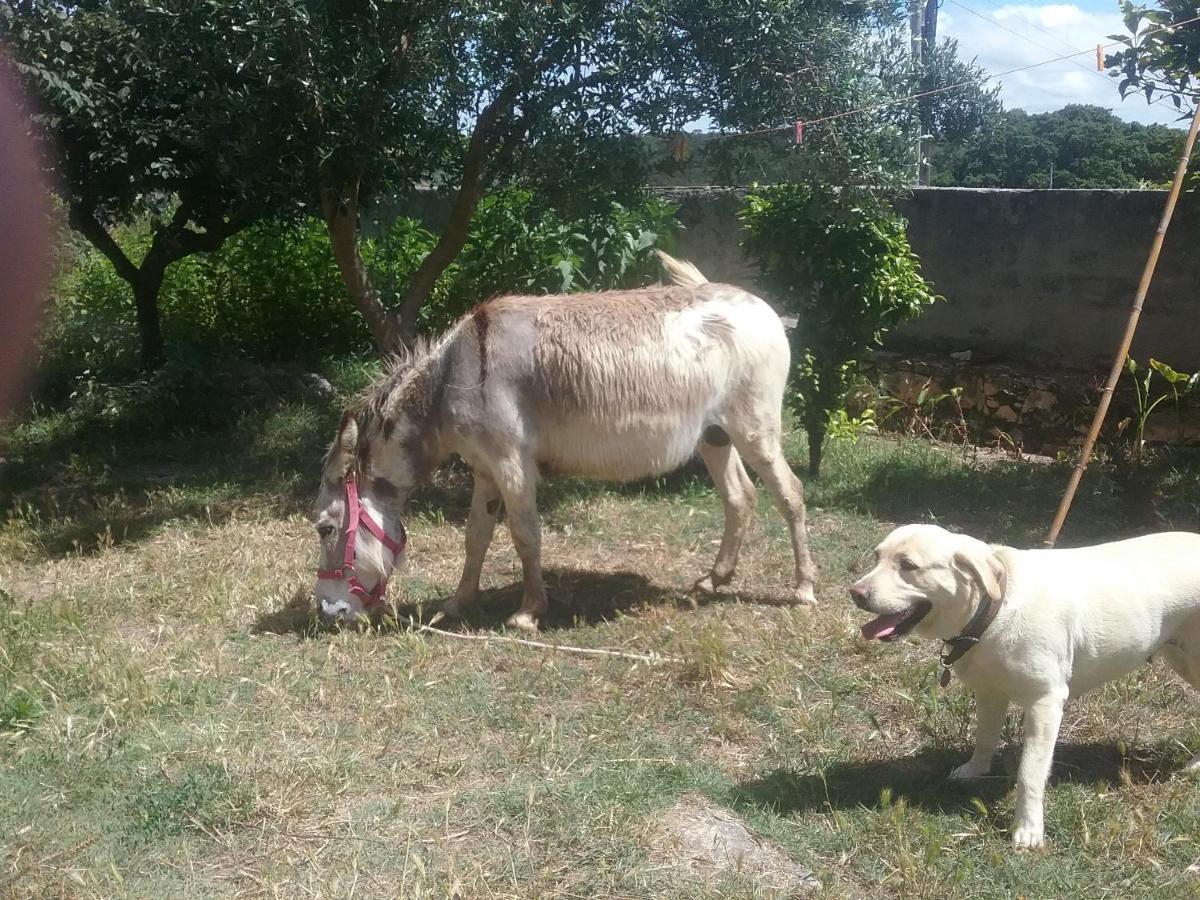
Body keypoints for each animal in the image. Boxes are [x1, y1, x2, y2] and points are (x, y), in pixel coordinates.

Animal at [849, 525, 1200, 849]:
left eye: (908, 565)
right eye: (877, 557)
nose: (855, 593)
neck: (993, 608)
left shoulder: (1045, 703)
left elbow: (1029, 773)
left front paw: (1029, 829)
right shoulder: (989, 693)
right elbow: (985, 738)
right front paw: (975, 770)